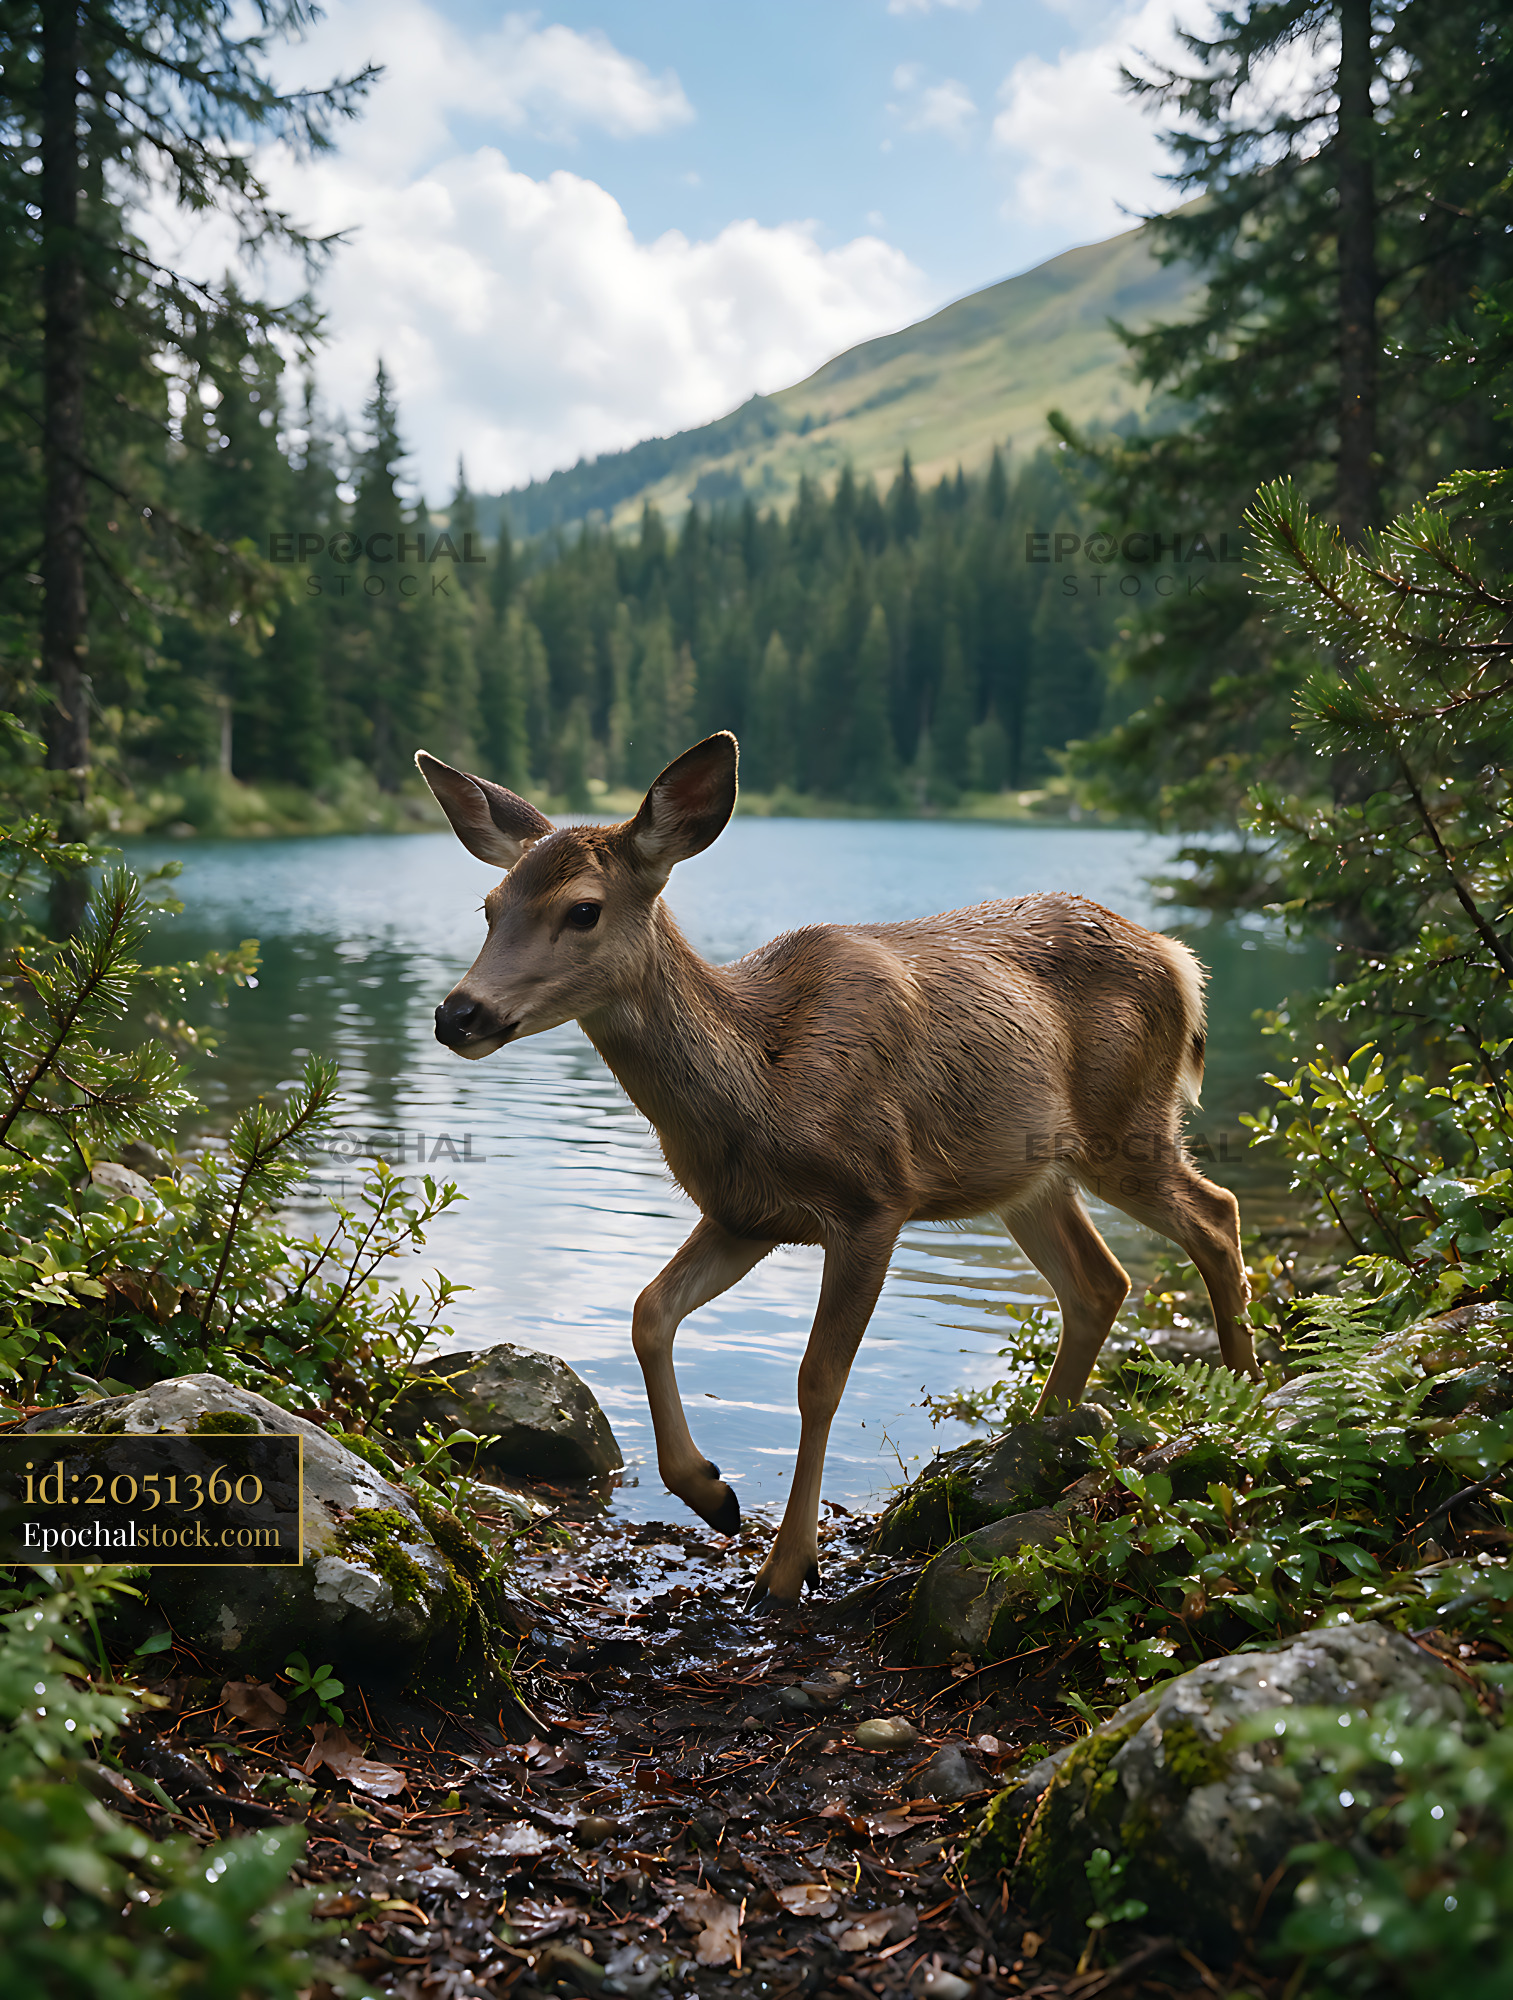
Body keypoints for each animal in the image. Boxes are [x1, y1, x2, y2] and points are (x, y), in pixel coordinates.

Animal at [416, 731, 1257, 1605]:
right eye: (489, 907)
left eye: (582, 909)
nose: (458, 1013)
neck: (762, 1082)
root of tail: (1178, 959)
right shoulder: (744, 1214)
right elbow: (649, 1312)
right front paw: (712, 1494)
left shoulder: (872, 1201)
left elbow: (817, 1379)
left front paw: (787, 1565)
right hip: (1027, 1174)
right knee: (1100, 1280)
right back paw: (1028, 1439)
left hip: (1124, 1127)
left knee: (1214, 1213)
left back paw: (1244, 1401)